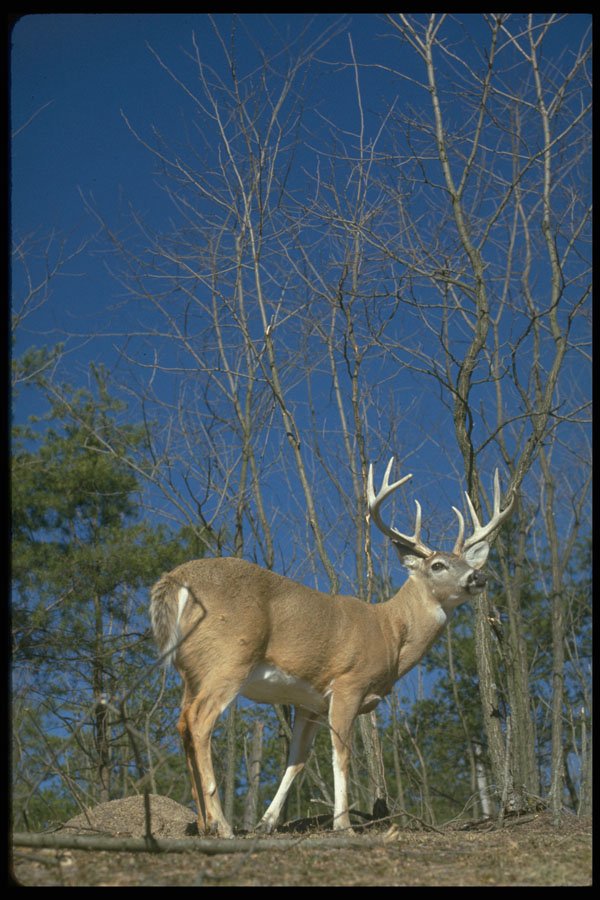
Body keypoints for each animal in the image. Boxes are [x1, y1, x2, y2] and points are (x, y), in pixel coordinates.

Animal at [150, 458, 514, 838]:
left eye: (469, 563)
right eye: (437, 565)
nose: (478, 577)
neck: (390, 632)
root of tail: (174, 580)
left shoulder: (308, 701)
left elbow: (297, 760)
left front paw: (267, 822)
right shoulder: (349, 683)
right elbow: (342, 753)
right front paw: (343, 824)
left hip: (192, 670)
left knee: (182, 723)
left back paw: (203, 822)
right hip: (229, 658)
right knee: (199, 722)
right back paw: (222, 824)